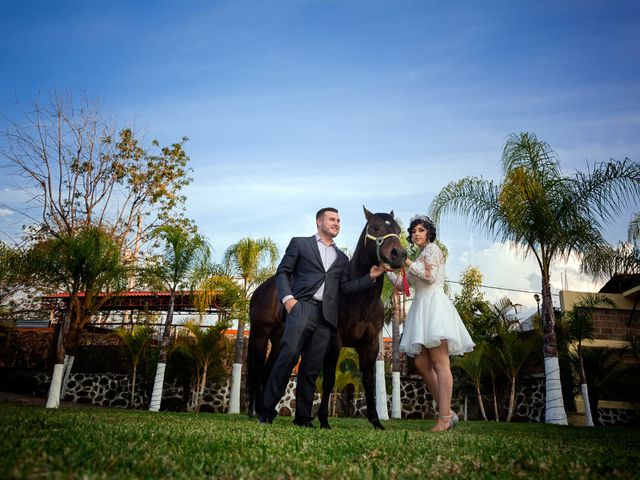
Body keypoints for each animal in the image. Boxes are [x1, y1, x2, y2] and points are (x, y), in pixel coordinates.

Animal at [248, 206, 408, 428]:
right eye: (375, 227)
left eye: (398, 229)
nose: (398, 254)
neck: (360, 300)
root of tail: (260, 289)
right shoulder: (334, 341)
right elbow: (329, 380)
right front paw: (323, 419)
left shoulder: (370, 345)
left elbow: (369, 381)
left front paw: (376, 421)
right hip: (260, 335)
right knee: (256, 371)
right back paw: (257, 412)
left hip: (279, 340)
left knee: (269, 370)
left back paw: (266, 411)